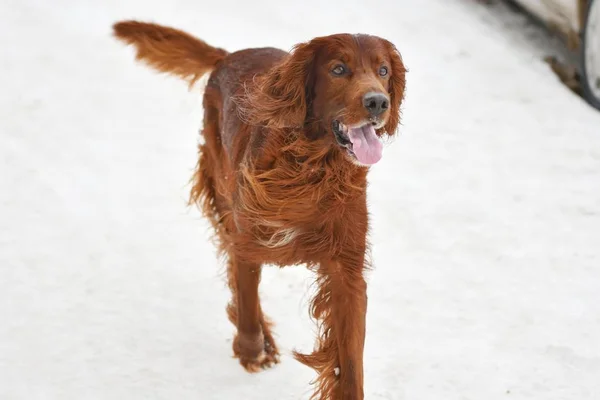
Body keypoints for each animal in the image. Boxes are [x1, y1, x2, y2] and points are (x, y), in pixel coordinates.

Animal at [113, 21, 408, 400]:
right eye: (338, 69)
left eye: (383, 71)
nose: (377, 102)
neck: (314, 170)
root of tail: (228, 56)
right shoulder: (249, 240)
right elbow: (247, 299)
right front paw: (252, 350)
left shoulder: (347, 271)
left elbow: (350, 360)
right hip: (222, 184)